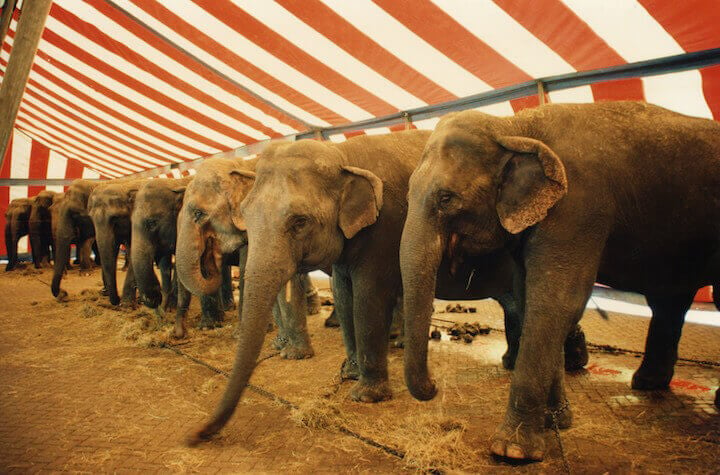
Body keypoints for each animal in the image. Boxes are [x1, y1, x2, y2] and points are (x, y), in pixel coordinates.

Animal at [400, 101, 720, 462]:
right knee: (670, 300)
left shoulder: (579, 206)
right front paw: (556, 421)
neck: (514, 127)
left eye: (446, 198)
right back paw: (647, 384)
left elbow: (557, 298)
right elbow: (530, 298)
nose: (435, 386)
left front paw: (512, 451)